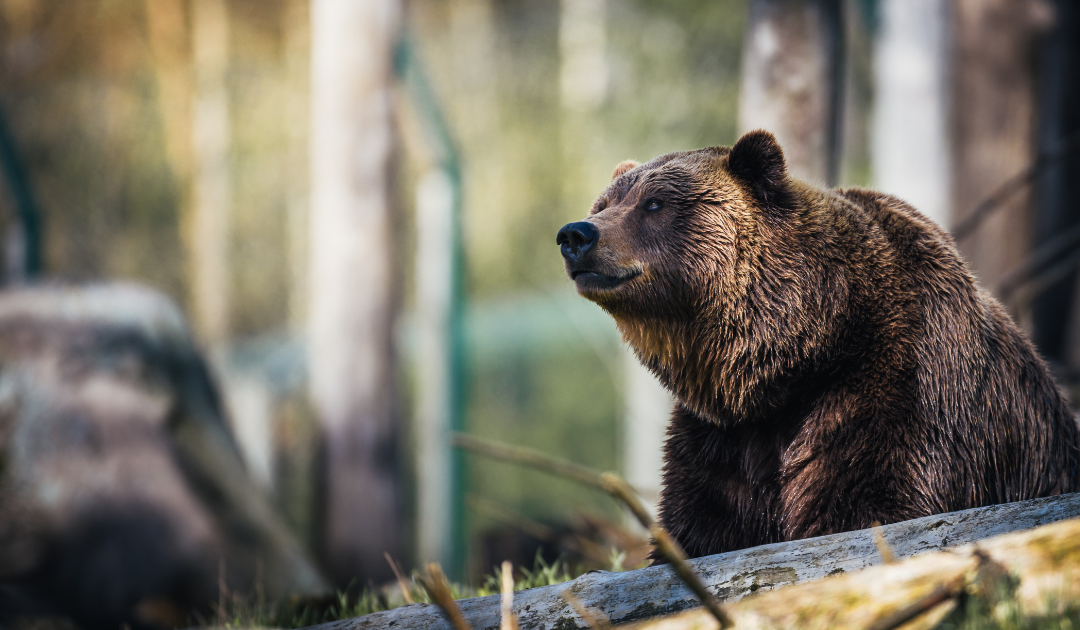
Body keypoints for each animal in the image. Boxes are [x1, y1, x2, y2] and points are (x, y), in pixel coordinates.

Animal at [556, 129, 1080, 559]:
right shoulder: (723, 439)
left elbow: (868, 503)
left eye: (655, 204)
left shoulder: (895, 387)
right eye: (605, 203)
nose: (576, 233)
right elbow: (703, 525)